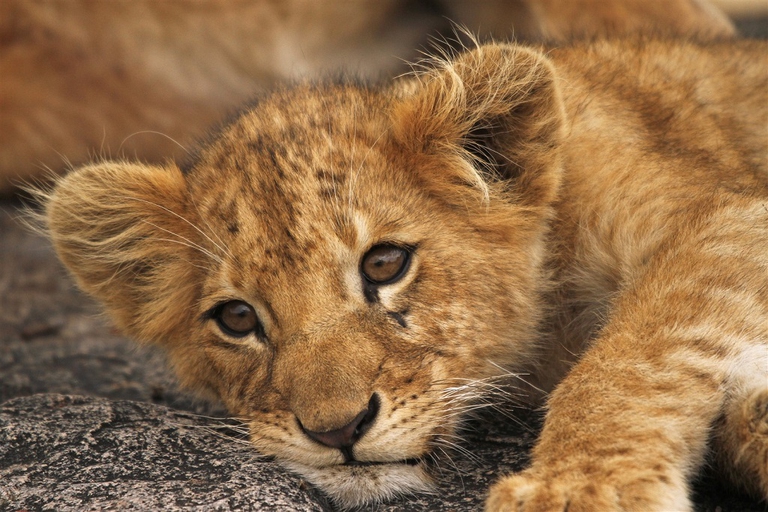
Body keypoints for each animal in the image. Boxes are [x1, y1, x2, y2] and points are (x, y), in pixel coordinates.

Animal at [38, 35, 767, 510]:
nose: (336, 432)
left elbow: (630, 359)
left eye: (384, 263)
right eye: (237, 318)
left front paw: (578, 490)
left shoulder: (728, 212)